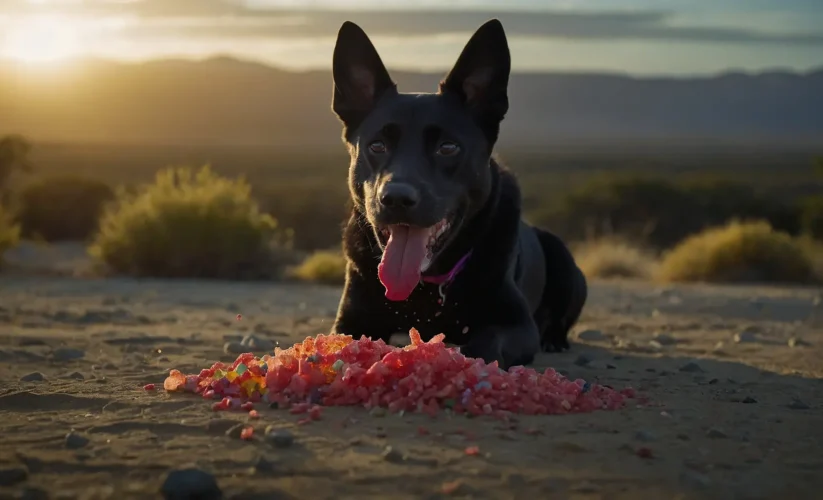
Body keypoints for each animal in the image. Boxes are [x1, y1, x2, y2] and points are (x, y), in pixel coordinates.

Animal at [328, 18, 584, 368]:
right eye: (376, 146)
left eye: (447, 148)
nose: (395, 198)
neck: (425, 289)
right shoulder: (350, 320)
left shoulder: (517, 324)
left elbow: (484, 342)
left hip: (566, 264)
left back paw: (555, 340)